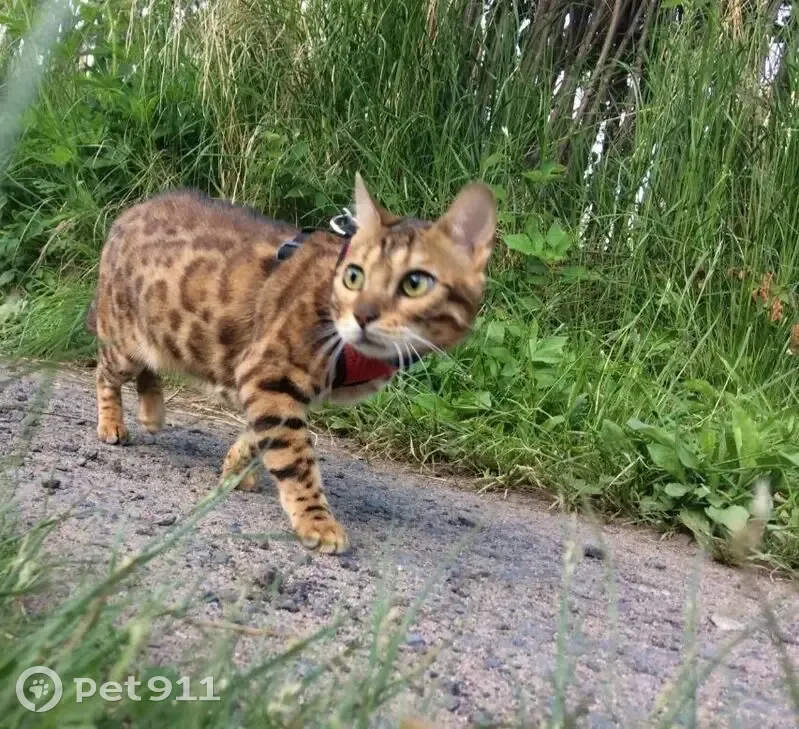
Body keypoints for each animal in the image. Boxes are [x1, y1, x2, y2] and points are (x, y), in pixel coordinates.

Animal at [86, 174, 496, 553]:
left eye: (415, 283)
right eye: (354, 276)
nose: (363, 315)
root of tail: (130, 212)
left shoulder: (271, 392)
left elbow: (256, 438)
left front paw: (235, 469)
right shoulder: (268, 377)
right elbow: (296, 458)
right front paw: (317, 521)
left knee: (148, 366)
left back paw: (152, 411)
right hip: (124, 339)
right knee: (106, 372)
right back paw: (113, 423)